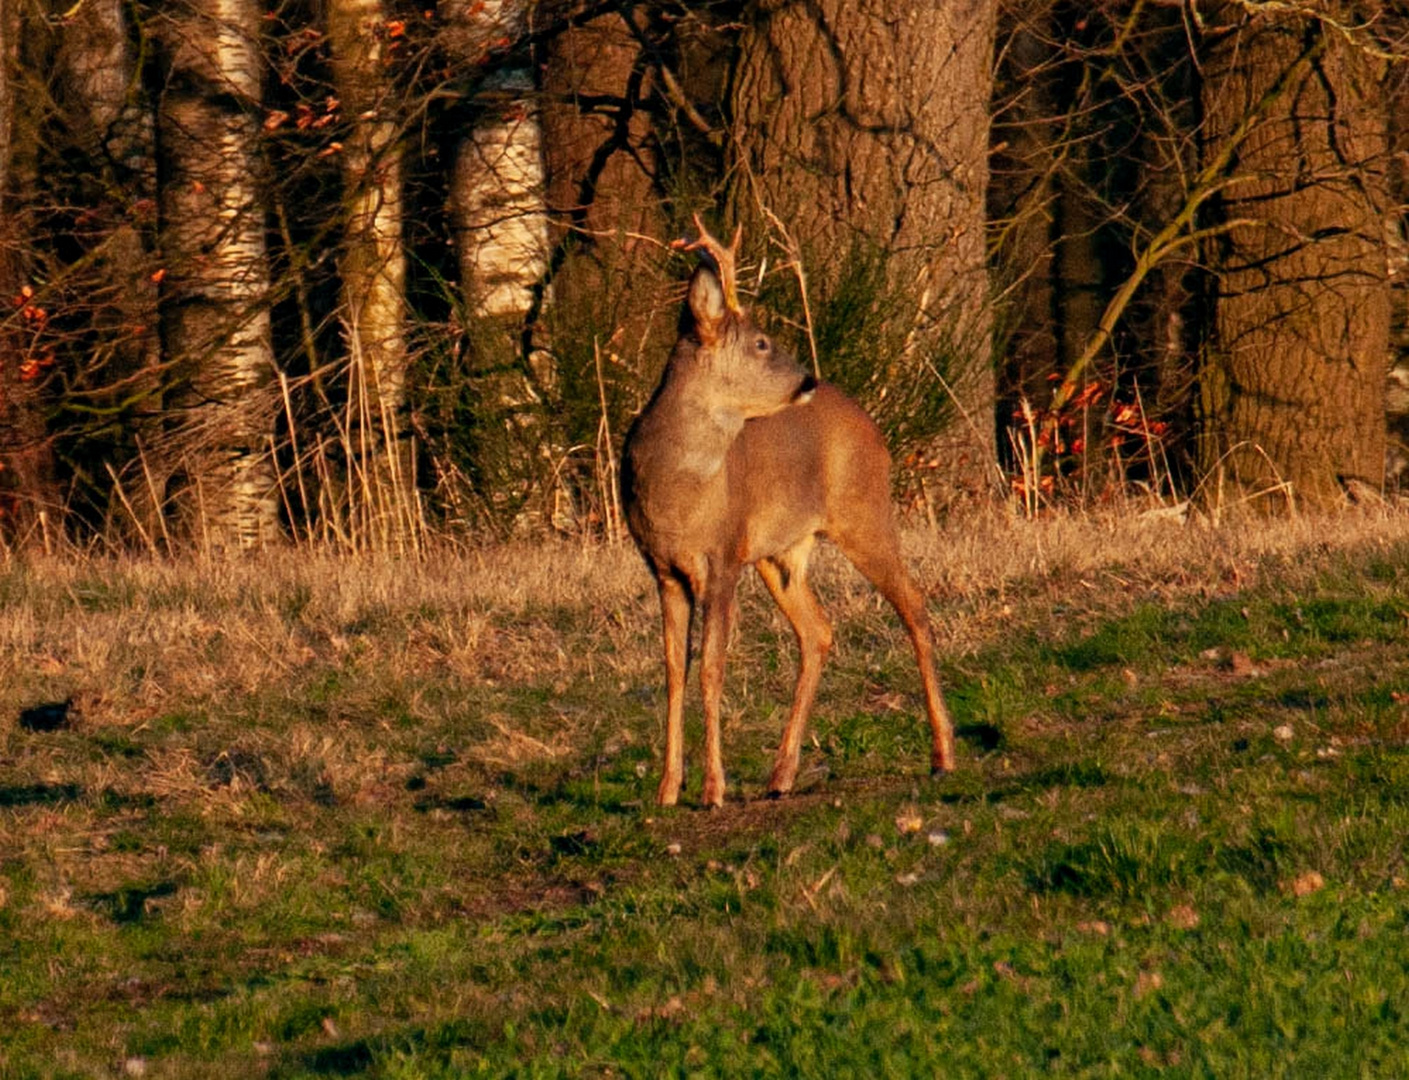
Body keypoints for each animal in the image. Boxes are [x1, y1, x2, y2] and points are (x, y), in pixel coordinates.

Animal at [622, 219, 952, 805]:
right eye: (761, 342)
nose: (807, 380)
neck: (675, 489)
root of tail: (872, 427)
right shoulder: (662, 567)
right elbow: (673, 671)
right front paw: (666, 790)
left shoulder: (723, 555)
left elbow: (711, 668)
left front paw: (713, 789)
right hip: (781, 553)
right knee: (818, 629)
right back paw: (781, 775)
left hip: (862, 510)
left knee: (913, 604)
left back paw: (942, 755)